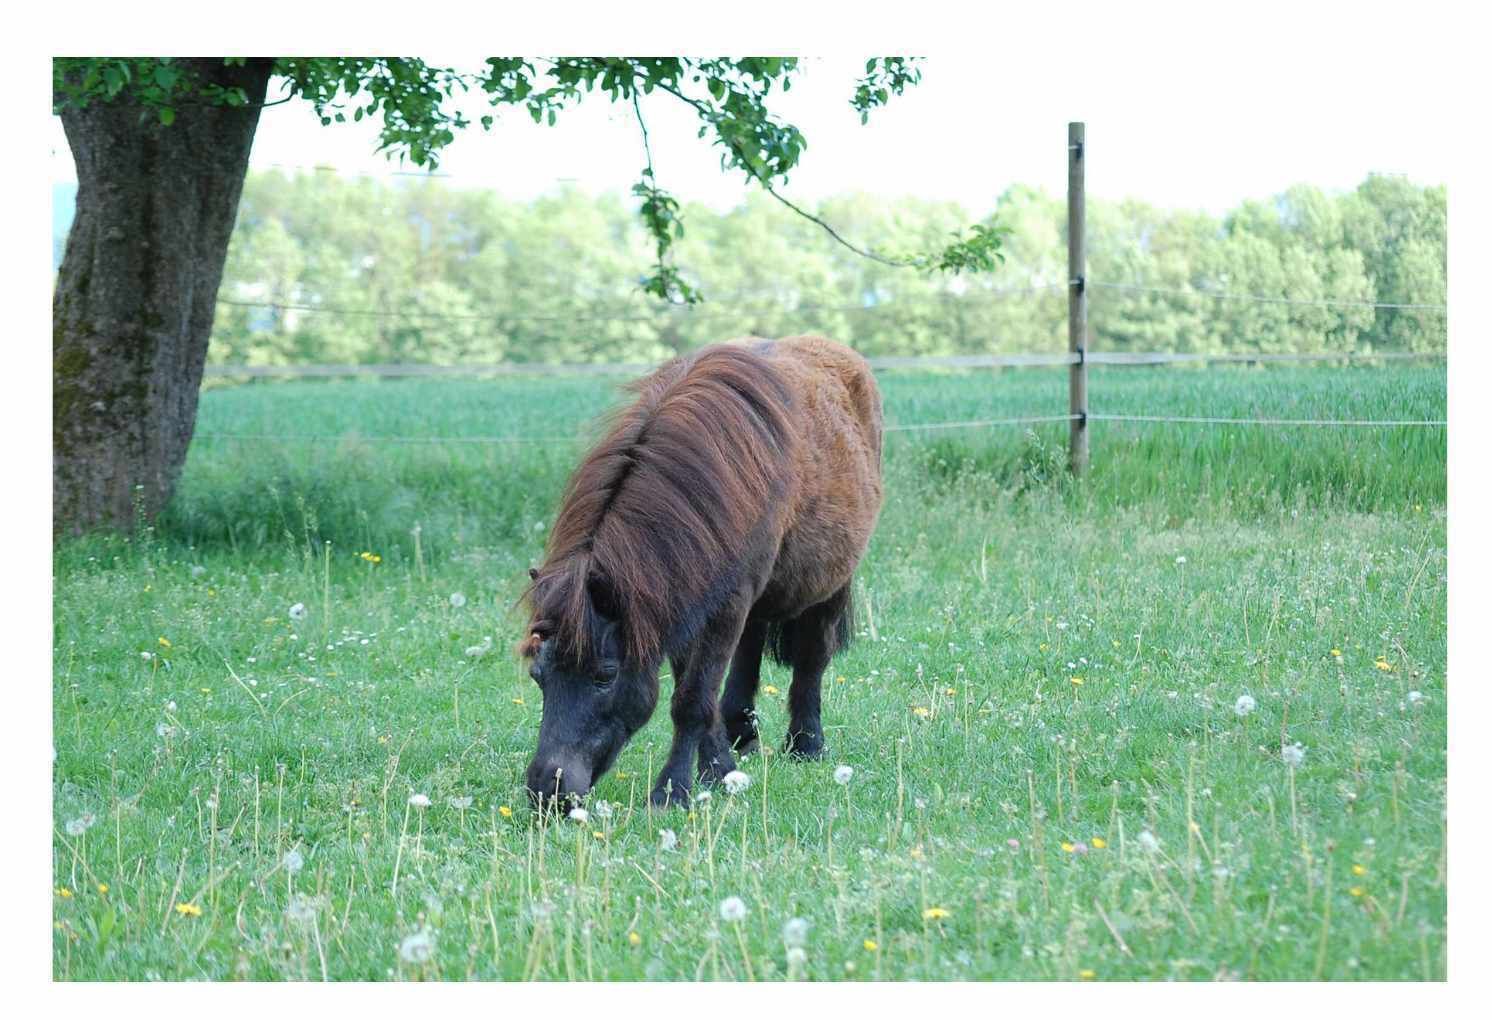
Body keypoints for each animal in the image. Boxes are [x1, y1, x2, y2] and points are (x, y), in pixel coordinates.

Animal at [519, 338, 877, 811]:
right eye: (537, 675)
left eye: (605, 675)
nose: (548, 790)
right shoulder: (682, 603)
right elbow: (697, 689)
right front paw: (719, 769)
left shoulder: (725, 605)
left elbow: (691, 700)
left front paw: (672, 790)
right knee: (749, 651)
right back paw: (742, 733)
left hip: (830, 586)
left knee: (811, 660)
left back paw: (806, 744)